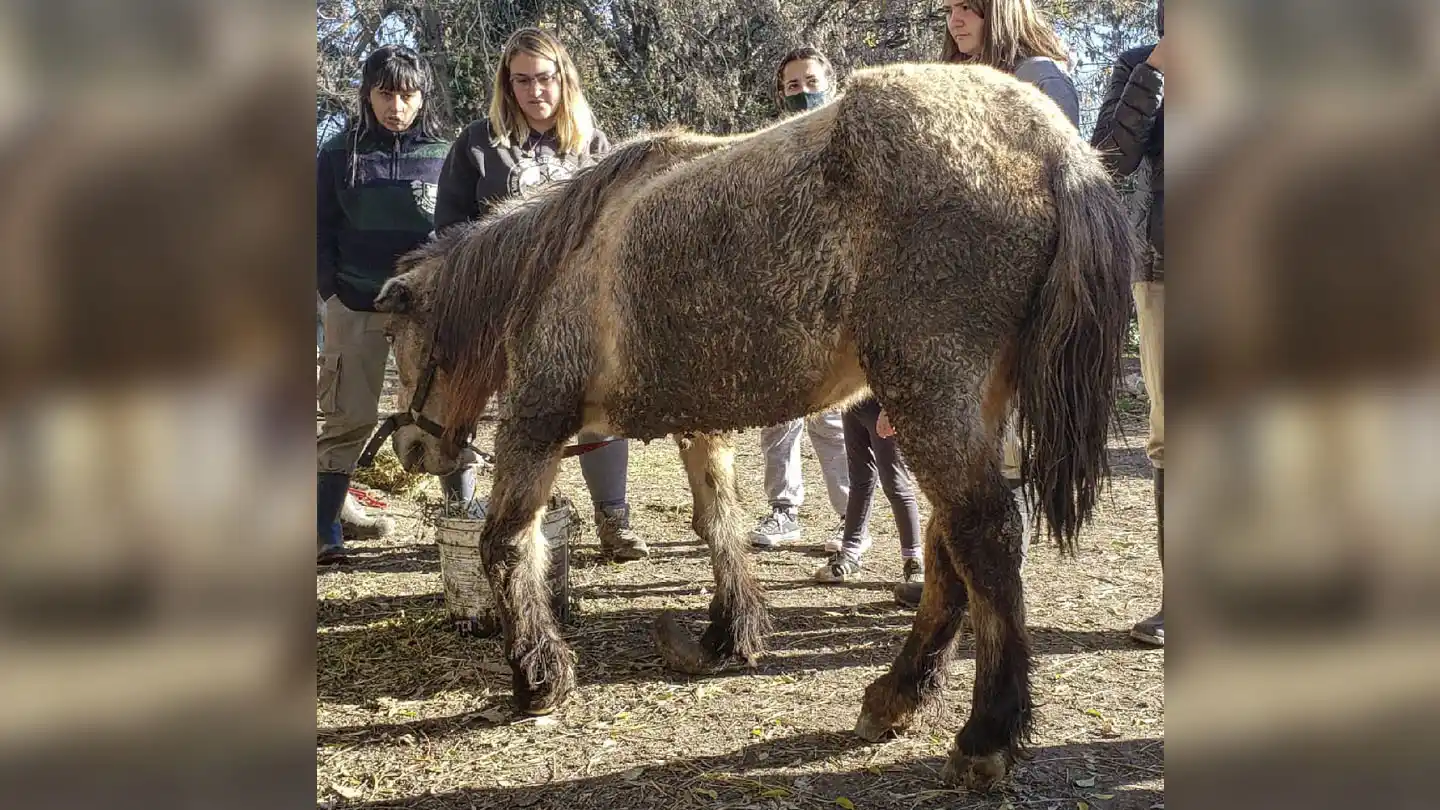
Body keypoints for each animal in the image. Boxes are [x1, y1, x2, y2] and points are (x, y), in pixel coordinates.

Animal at [372, 62, 1136, 790]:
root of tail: (1053, 145)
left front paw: (538, 678)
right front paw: (726, 634)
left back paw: (985, 735)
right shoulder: (699, 426)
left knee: (985, 536)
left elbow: (506, 546)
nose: (410, 446)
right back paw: (897, 696)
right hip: (966, 406)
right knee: (951, 547)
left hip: (928, 397)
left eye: (399, 340)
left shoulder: (536, 422)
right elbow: (718, 524)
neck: (552, 264)